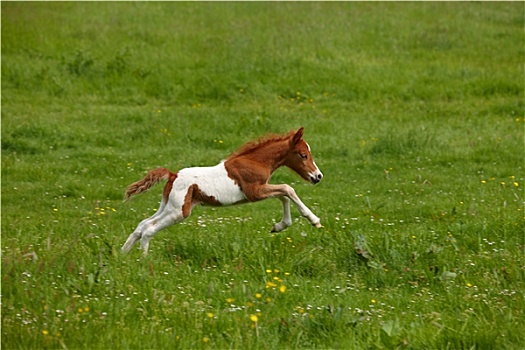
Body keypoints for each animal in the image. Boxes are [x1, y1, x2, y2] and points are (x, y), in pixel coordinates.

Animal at [121, 126, 322, 254]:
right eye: (303, 155)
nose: (318, 176)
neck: (256, 161)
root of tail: (172, 175)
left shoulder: (261, 190)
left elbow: (284, 195)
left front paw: (279, 226)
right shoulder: (255, 192)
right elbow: (288, 189)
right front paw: (314, 220)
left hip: (167, 206)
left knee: (142, 225)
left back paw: (123, 256)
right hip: (179, 211)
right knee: (148, 229)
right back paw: (144, 261)